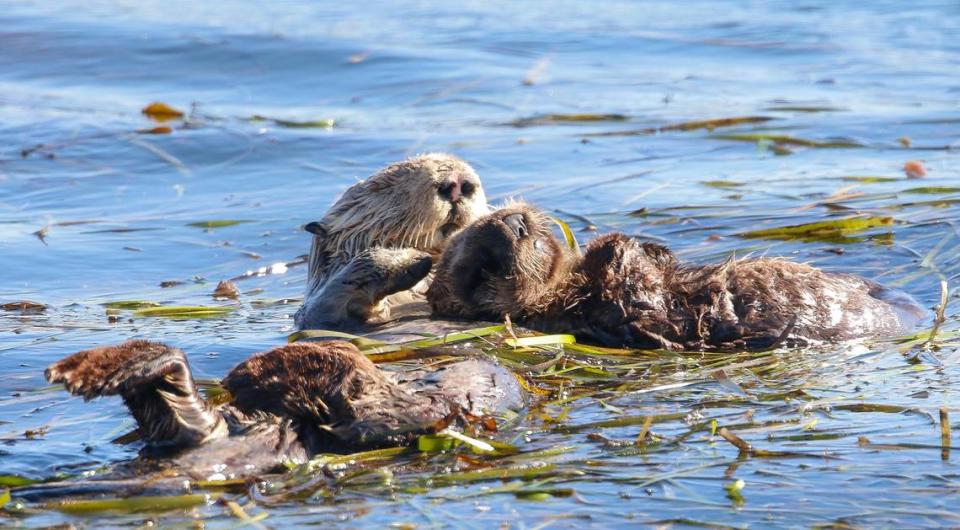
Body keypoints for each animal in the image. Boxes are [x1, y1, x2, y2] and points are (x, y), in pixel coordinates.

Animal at [428, 204, 924, 348]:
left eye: (481, 220)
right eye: (482, 270)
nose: (513, 225)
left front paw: (627, 243)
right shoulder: (605, 316)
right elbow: (640, 296)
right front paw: (612, 249)